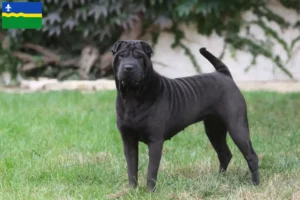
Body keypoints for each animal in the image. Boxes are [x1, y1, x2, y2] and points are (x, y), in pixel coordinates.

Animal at [111, 39, 258, 191]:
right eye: (121, 55)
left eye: (140, 56)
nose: (129, 67)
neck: (132, 96)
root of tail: (225, 75)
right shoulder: (128, 140)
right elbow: (131, 168)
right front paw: (131, 190)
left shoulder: (155, 141)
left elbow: (151, 171)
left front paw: (150, 191)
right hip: (214, 130)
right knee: (224, 154)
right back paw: (218, 180)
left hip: (237, 127)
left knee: (251, 156)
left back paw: (255, 184)